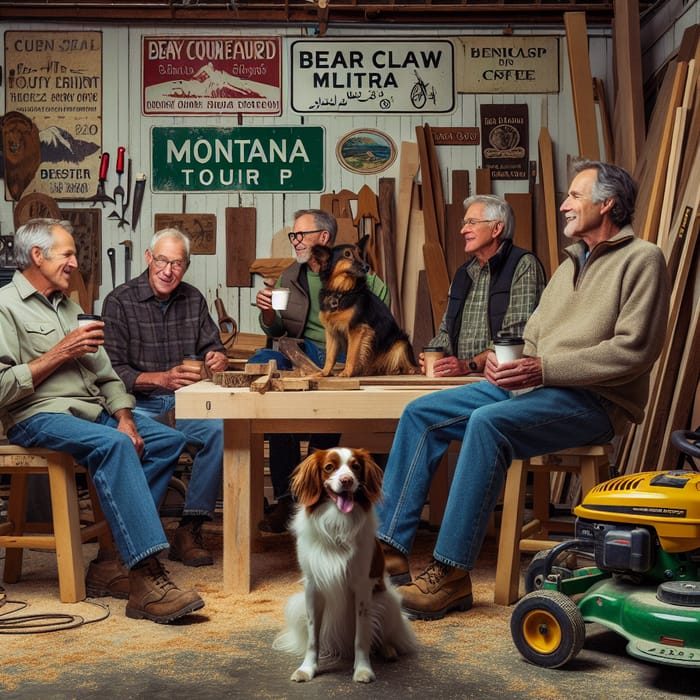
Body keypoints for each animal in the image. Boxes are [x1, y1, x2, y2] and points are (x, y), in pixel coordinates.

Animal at [272, 448, 416, 684]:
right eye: (329, 467)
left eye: (355, 466)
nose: (347, 480)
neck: (337, 522)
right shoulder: (312, 588)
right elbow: (313, 638)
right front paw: (307, 668)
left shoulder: (363, 587)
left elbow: (362, 636)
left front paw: (363, 669)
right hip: (298, 605)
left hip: (387, 602)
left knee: (383, 636)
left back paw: (388, 650)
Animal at [314, 235, 422, 378]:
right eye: (347, 254)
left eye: (360, 254)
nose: (367, 266)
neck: (341, 291)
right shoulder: (332, 332)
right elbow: (330, 356)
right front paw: (324, 372)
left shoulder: (357, 329)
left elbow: (351, 355)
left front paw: (347, 372)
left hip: (400, 343)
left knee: (408, 365)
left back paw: (403, 370)